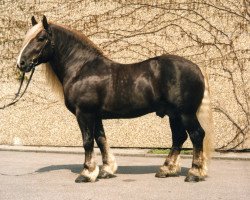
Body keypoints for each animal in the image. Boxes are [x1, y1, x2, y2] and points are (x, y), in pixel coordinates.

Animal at [17, 15, 213, 183]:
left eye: (41, 38)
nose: (21, 63)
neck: (81, 69)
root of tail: (197, 68)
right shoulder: (95, 116)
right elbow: (101, 139)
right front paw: (106, 170)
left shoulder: (84, 113)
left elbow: (88, 141)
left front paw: (86, 173)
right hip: (174, 115)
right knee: (178, 137)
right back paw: (166, 169)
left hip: (185, 113)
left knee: (196, 135)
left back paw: (194, 173)